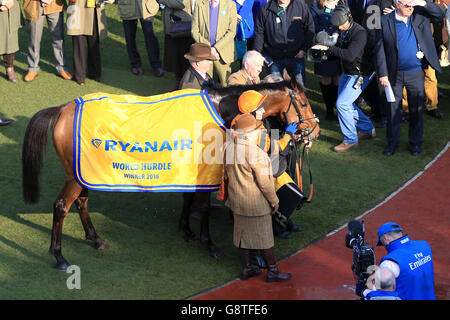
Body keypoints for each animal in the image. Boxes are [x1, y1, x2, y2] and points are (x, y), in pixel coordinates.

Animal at [22, 78, 320, 270]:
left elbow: (188, 199)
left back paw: (95, 239)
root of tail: (63, 108)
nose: (314, 132)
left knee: (81, 202)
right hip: (75, 176)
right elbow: (202, 206)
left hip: (85, 173)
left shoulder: (191, 172)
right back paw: (59, 256)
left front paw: (186, 229)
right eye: (305, 103)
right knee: (62, 206)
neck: (220, 110)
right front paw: (209, 244)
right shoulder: (206, 172)